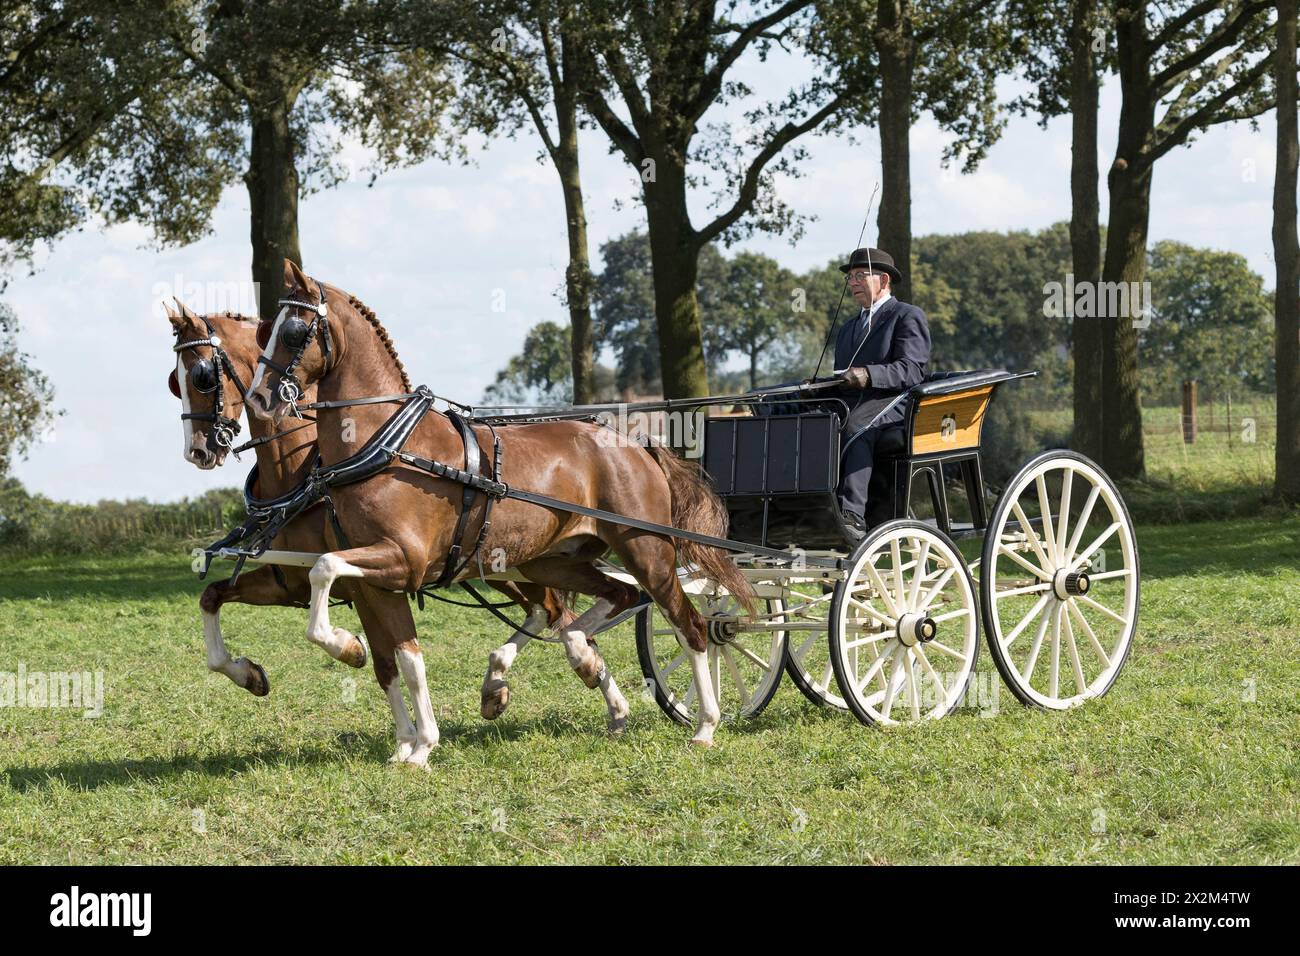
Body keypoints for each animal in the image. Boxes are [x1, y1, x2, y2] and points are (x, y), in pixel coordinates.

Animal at [165, 303, 572, 712]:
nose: (196, 451)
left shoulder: (360, 578)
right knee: (547, 610)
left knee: (553, 610)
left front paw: (349, 647)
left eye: (201, 376)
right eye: (174, 382)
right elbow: (211, 596)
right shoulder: (288, 581)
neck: (299, 473)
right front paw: (247, 674)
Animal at [246, 260, 754, 764]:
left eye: (292, 331)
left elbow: (324, 570)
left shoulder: (403, 560)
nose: (258, 398)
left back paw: (705, 724)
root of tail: (633, 442)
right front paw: (411, 739)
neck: (388, 445)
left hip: (647, 552)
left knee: (690, 626)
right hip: (551, 560)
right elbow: (400, 658)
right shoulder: (378, 580)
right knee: (610, 598)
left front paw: (352, 654)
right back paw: (579, 659)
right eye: (265, 329)